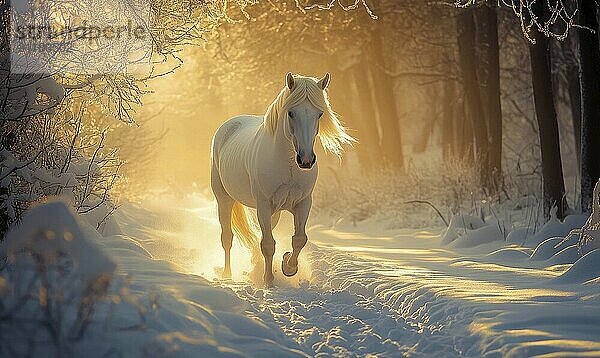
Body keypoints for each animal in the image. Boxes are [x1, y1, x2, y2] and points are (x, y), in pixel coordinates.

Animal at [211, 71, 354, 286]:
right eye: (291, 113)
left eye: (319, 114)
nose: (306, 160)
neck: (288, 166)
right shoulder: (263, 204)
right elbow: (268, 244)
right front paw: (269, 280)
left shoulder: (303, 203)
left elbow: (299, 239)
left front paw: (288, 266)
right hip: (224, 199)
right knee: (227, 237)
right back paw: (227, 274)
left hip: (274, 212)